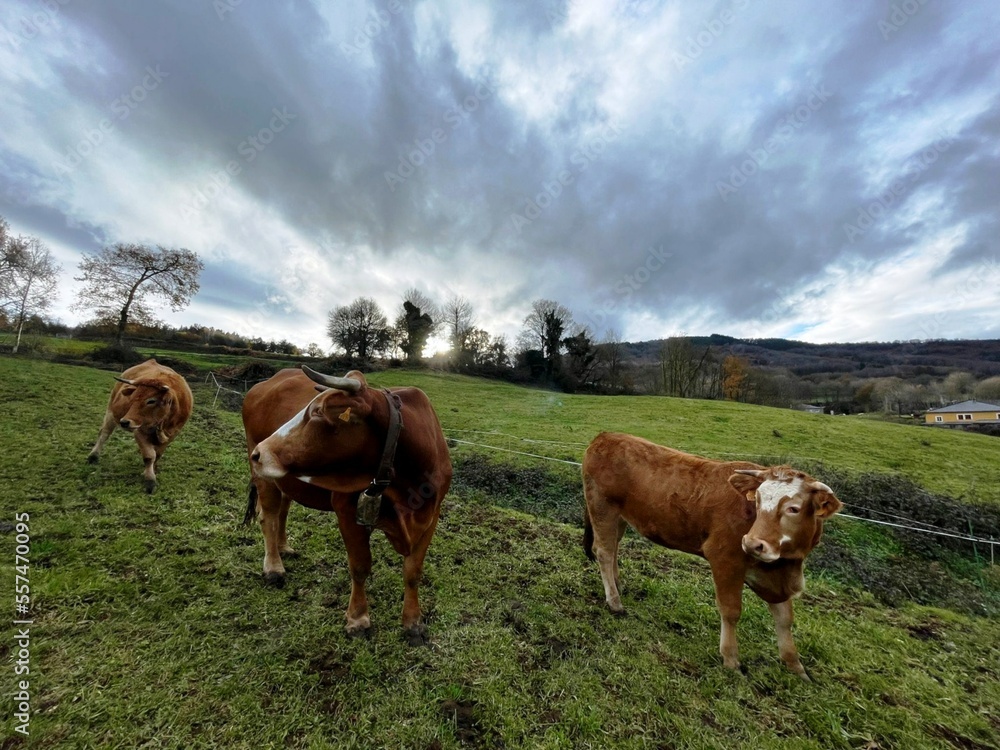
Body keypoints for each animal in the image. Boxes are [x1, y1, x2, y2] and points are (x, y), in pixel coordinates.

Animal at [584, 428, 840, 680]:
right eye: (757, 501)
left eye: (793, 508)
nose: (752, 543)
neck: (786, 565)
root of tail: (605, 437)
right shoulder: (725, 559)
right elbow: (731, 610)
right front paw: (731, 658)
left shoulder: (774, 576)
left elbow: (785, 618)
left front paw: (796, 666)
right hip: (602, 507)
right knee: (604, 551)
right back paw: (614, 601)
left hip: (618, 516)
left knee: (614, 547)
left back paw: (617, 584)